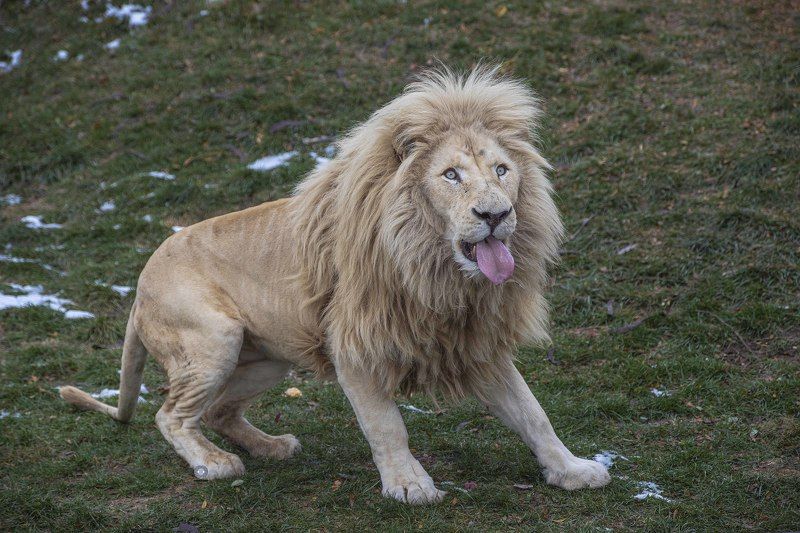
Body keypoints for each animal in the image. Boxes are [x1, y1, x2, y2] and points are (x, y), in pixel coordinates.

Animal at [60, 66, 611, 504]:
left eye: (502, 170)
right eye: (451, 175)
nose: (495, 214)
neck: (437, 272)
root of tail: (138, 288)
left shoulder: (473, 342)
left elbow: (533, 413)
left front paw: (572, 469)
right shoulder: (355, 347)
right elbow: (387, 425)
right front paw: (409, 486)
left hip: (267, 357)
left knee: (215, 411)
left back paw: (272, 447)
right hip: (214, 339)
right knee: (170, 415)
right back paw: (214, 463)